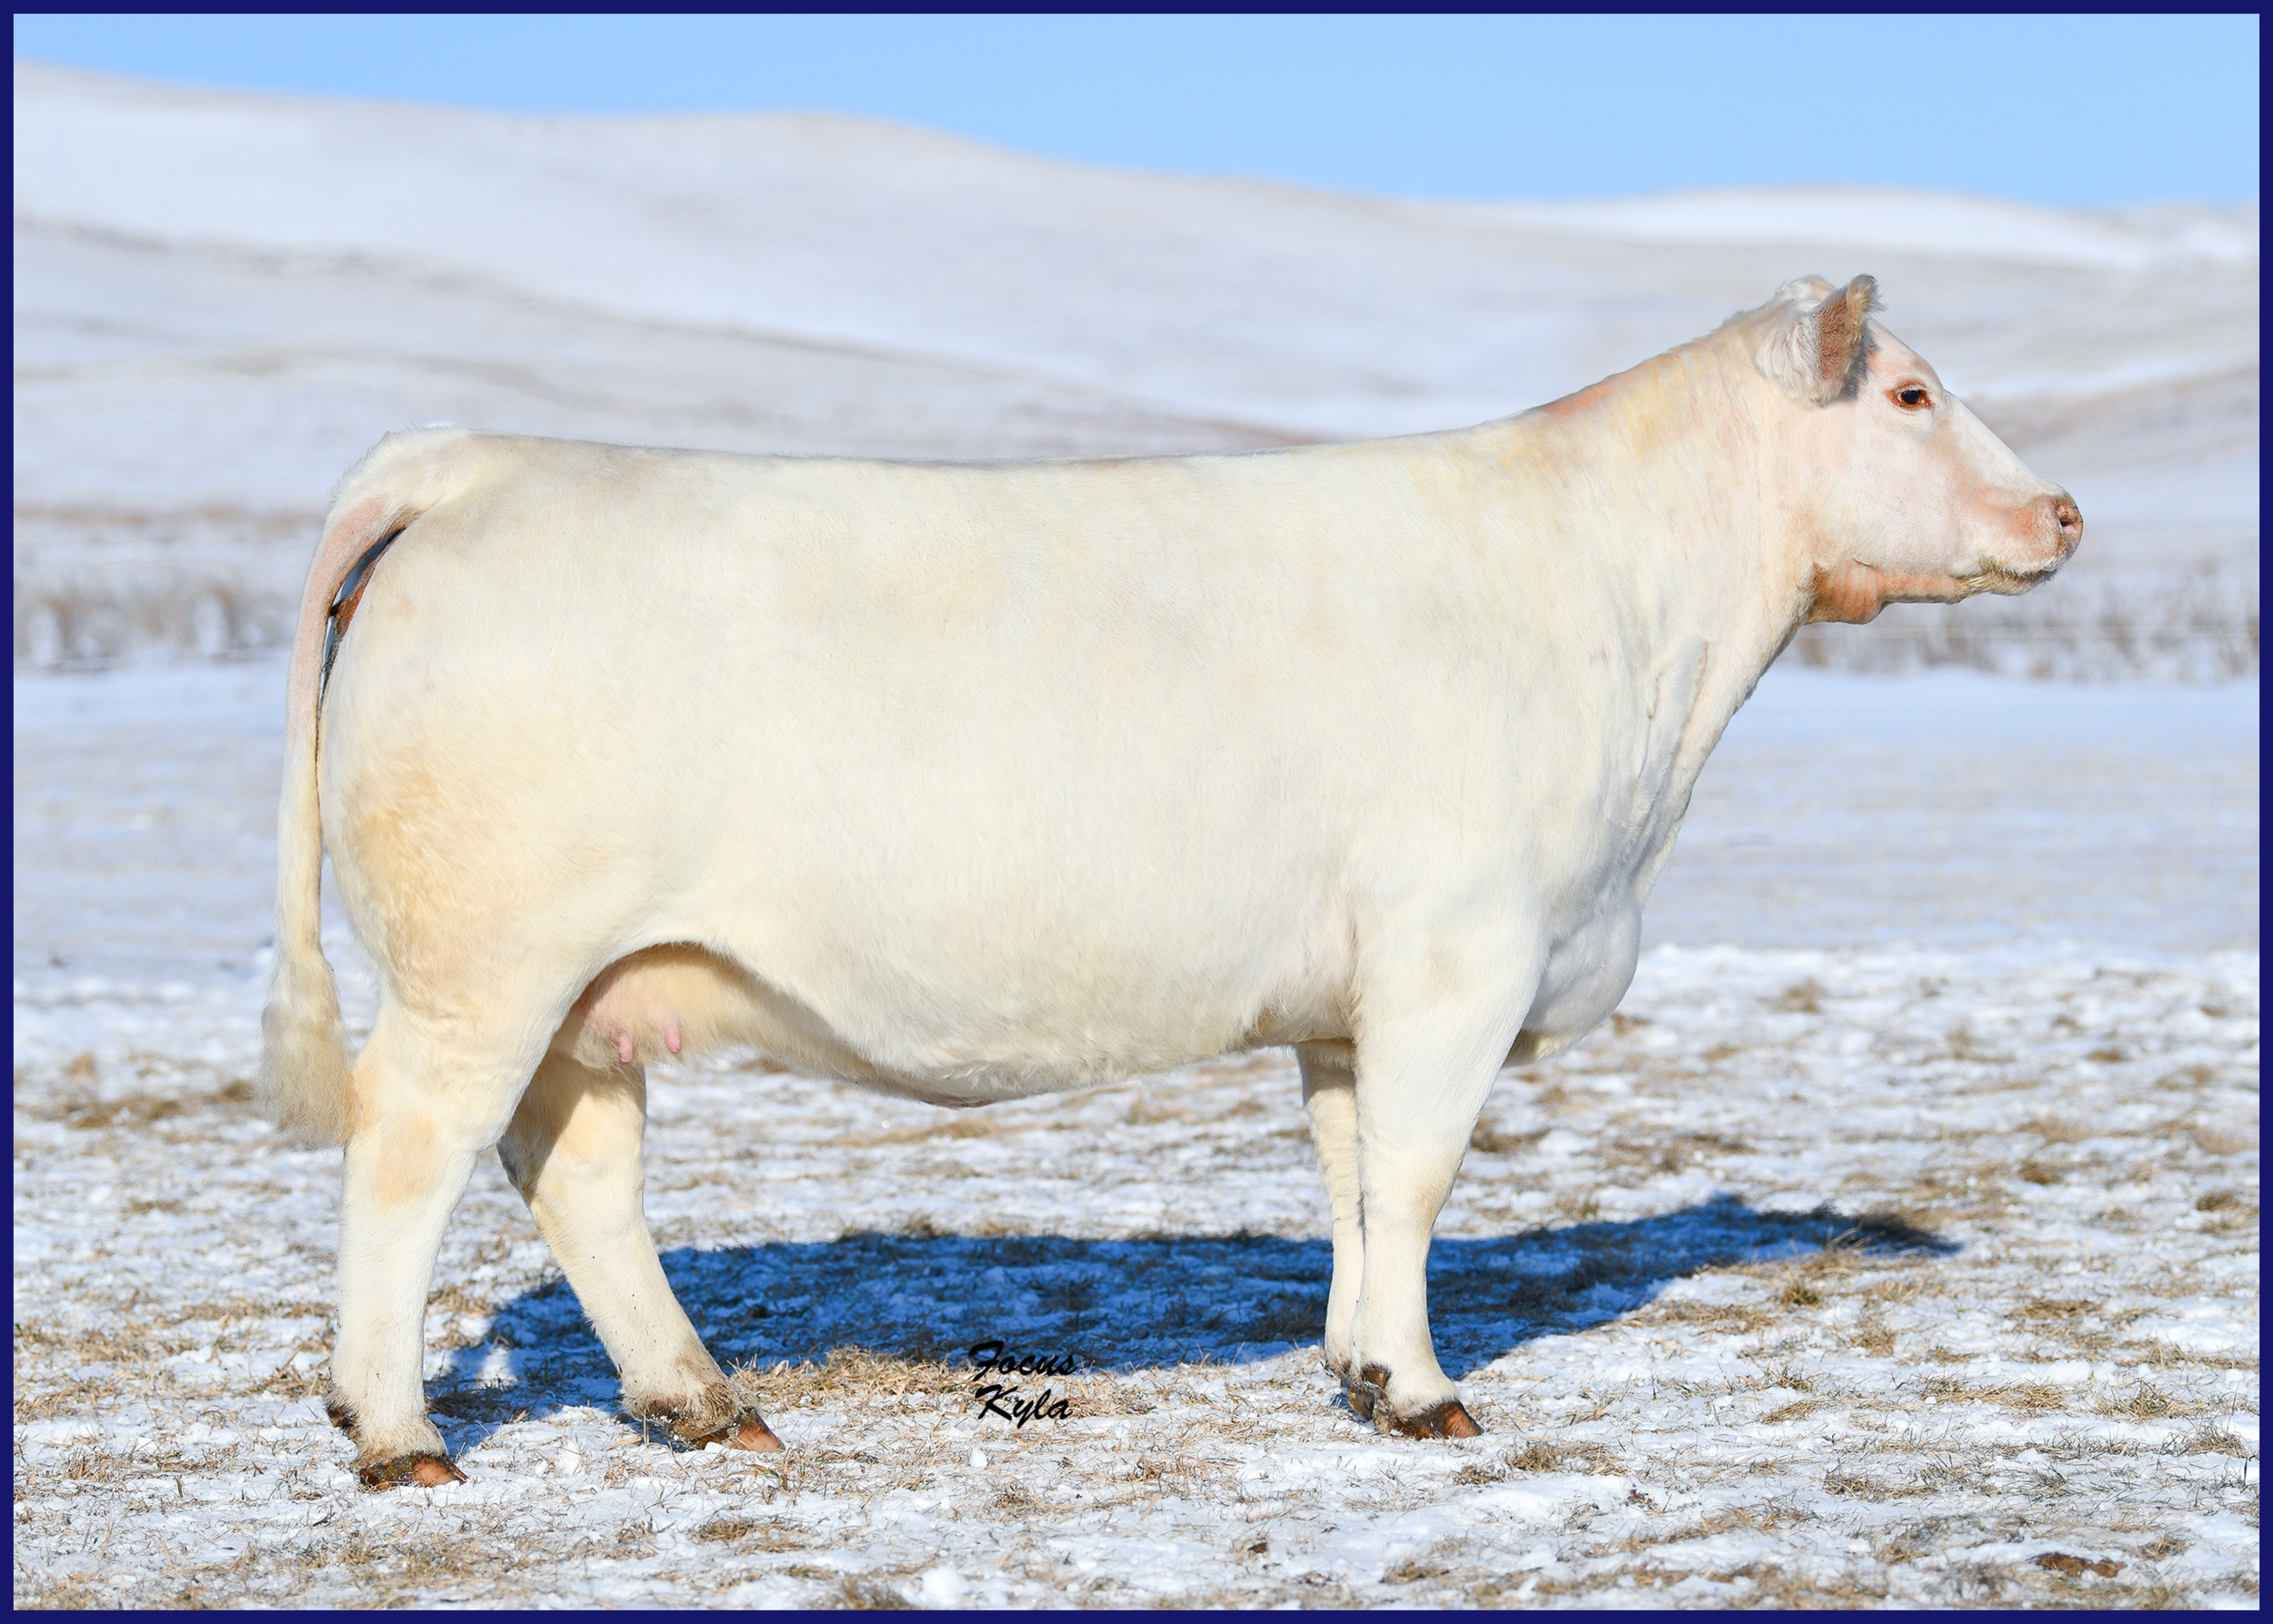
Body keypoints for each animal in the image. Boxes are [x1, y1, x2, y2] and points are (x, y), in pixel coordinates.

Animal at [260, 275, 2080, 1488]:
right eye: (1911, 397)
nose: (2061, 511)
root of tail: (475, 460)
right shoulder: (1462, 950)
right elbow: (1419, 1172)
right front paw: (1428, 1388)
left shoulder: (1352, 991)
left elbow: (1352, 1173)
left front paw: (1360, 1364)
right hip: (481, 968)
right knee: (407, 1156)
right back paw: (399, 1430)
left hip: (591, 990)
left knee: (579, 1176)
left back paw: (696, 1397)